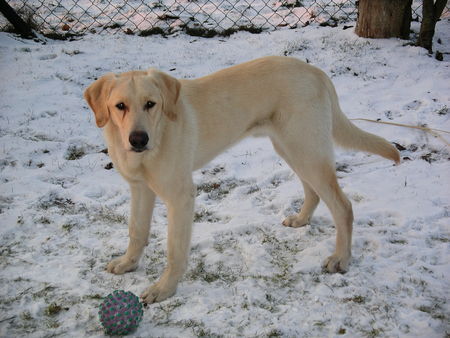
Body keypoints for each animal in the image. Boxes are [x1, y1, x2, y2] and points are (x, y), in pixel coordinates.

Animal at [82, 56, 400, 304]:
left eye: (151, 104)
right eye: (120, 106)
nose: (138, 139)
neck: (158, 135)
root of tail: (316, 71)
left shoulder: (180, 197)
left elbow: (174, 250)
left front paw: (164, 289)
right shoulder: (140, 189)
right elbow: (136, 231)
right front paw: (128, 263)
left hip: (305, 150)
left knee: (343, 206)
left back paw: (341, 258)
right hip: (291, 148)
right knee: (313, 192)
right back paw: (301, 220)